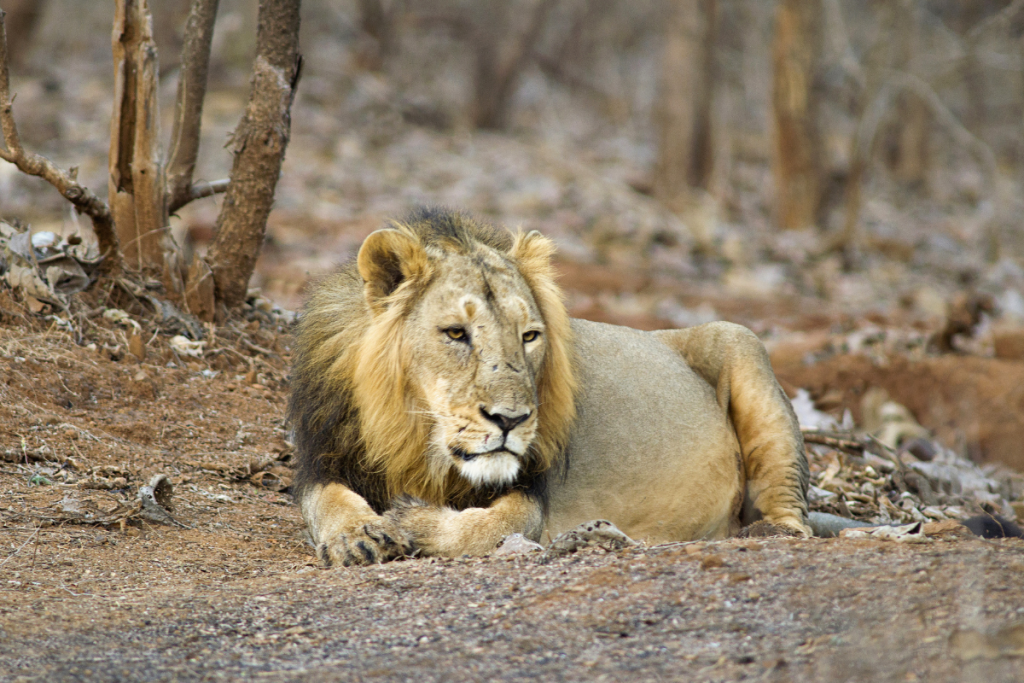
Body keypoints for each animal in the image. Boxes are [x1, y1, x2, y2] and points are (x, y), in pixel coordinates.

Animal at [286, 206, 806, 565]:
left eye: (529, 336)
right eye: (456, 333)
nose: (510, 420)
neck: (416, 436)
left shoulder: (532, 490)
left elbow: (494, 526)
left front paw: (413, 522)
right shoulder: (322, 459)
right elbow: (326, 502)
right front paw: (357, 535)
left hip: (742, 343)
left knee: (791, 517)